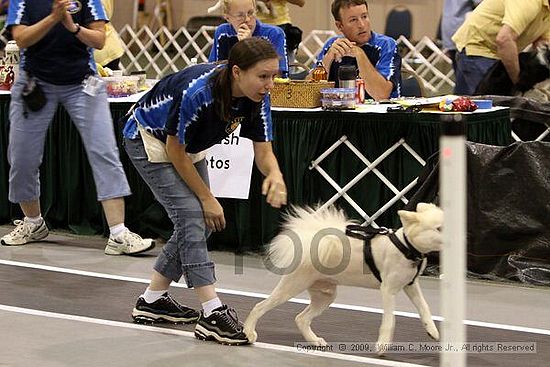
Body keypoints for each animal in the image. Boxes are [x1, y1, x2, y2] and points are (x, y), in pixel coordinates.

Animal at [246, 204, 444, 354]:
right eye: (439, 228)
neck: (406, 246)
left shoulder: (411, 285)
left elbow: (424, 307)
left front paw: (432, 331)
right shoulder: (388, 290)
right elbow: (389, 320)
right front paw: (382, 345)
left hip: (325, 296)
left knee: (301, 318)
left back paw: (315, 341)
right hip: (292, 286)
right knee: (259, 307)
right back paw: (249, 333)